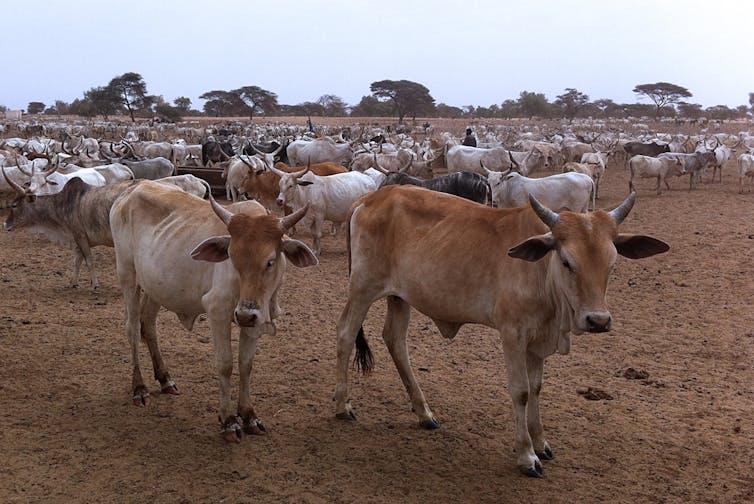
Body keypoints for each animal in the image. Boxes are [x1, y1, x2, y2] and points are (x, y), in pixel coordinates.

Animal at [2, 170, 140, 289]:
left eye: (14, 205)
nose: (5, 224)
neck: (63, 203)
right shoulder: (77, 238)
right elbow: (77, 261)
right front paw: (73, 283)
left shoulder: (80, 236)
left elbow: (89, 260)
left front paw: (95, 284)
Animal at [109, 181, 318, 441]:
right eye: (232, 258)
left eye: (270, 261)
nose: (244, 315)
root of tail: (132, 188)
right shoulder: (218, 311)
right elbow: (225, 364)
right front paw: (229, 421)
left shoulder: (254, 320)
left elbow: (246, 364)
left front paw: (249, 415)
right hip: (127, 274)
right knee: (132, 329)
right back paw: (139, 388)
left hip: (155, 286)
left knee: (147, 324)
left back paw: (165, 379)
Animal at [333, 185, 669, 477]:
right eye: (567, 262)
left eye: (612, 264)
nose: (598, 320)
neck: (541, 273)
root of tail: (371, 197)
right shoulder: (513, 335)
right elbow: (521, 391)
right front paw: (527, 455)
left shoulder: (537, 341)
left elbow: (536, 388)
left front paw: (541, 443)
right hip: (363, 288)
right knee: (346, 333)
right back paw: (342, 405)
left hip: (400, 297)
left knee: (395, 340)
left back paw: (424, 413)